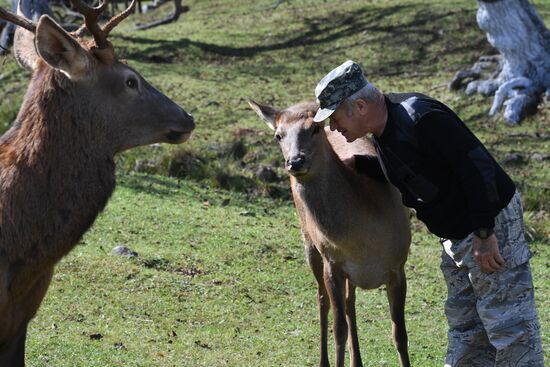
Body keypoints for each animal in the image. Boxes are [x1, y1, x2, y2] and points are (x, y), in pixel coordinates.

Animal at [251, 100, 414, 367]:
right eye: (278, 135)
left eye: (314, 128)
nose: (295, 161)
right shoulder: (333, 263)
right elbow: (339, 330)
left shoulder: (398, 266)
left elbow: (399, 334)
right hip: (309, 243)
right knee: (323, 299)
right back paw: (324, 360)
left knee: (350, 303)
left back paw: (356, 361)